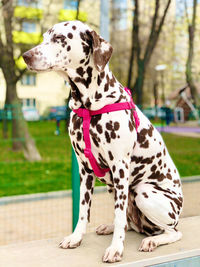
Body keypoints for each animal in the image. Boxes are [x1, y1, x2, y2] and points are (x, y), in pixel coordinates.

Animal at [23, 20, 183, 264]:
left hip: (144, 192)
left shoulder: (120, 167)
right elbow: (83, 211)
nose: (25, 56)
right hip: (114, 188)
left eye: (59, 38)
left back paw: (152, 241)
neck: (88, 106)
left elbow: (119, 215)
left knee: (172, 231)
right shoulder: (84, 170)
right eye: (43, 38)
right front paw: (76, 237)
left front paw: (116, 249)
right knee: (129, 224)